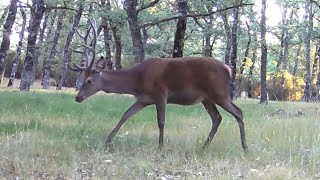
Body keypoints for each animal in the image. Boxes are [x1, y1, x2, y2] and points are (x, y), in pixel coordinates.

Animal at [69, 17, 249, 153]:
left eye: (89, 81)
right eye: (82, 78)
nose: (78, 97)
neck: (137, 81)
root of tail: (229, 69)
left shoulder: (160, 94)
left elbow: (161, 121)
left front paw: (160, 147)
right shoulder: (143, 99)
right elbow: (125, 115)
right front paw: (107, 141)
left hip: (220, 92)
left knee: (238, 112)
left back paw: (244, 147)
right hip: (207, 98)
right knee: (217, 118)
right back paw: (204, 147)